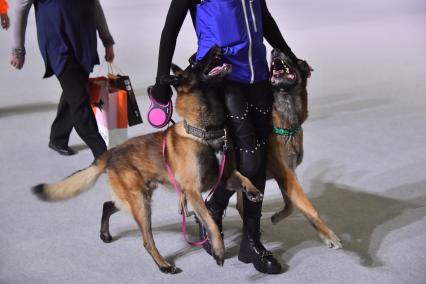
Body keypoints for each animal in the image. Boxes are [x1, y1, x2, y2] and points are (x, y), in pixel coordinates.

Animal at [31, 47, 262, 274]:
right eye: (196, 63)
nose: (218, 47)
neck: (204, 131)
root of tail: (112, 152)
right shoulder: (193, 192)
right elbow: (212, 223)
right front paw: (219, 251)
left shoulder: (224, 178)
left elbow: (243, 177)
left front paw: (253, 191)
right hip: (141, 204)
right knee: (146, 240)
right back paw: (163, 264)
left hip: (139, 197)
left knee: (108, 205)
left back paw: (105, 234)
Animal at [235, 48, 342, 248]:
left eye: (292, 56)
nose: (274, 50)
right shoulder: (285, 174)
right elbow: (308, 207)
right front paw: (328, 234)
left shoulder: (287, 175)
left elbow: (292, 205)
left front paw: (276, 217)